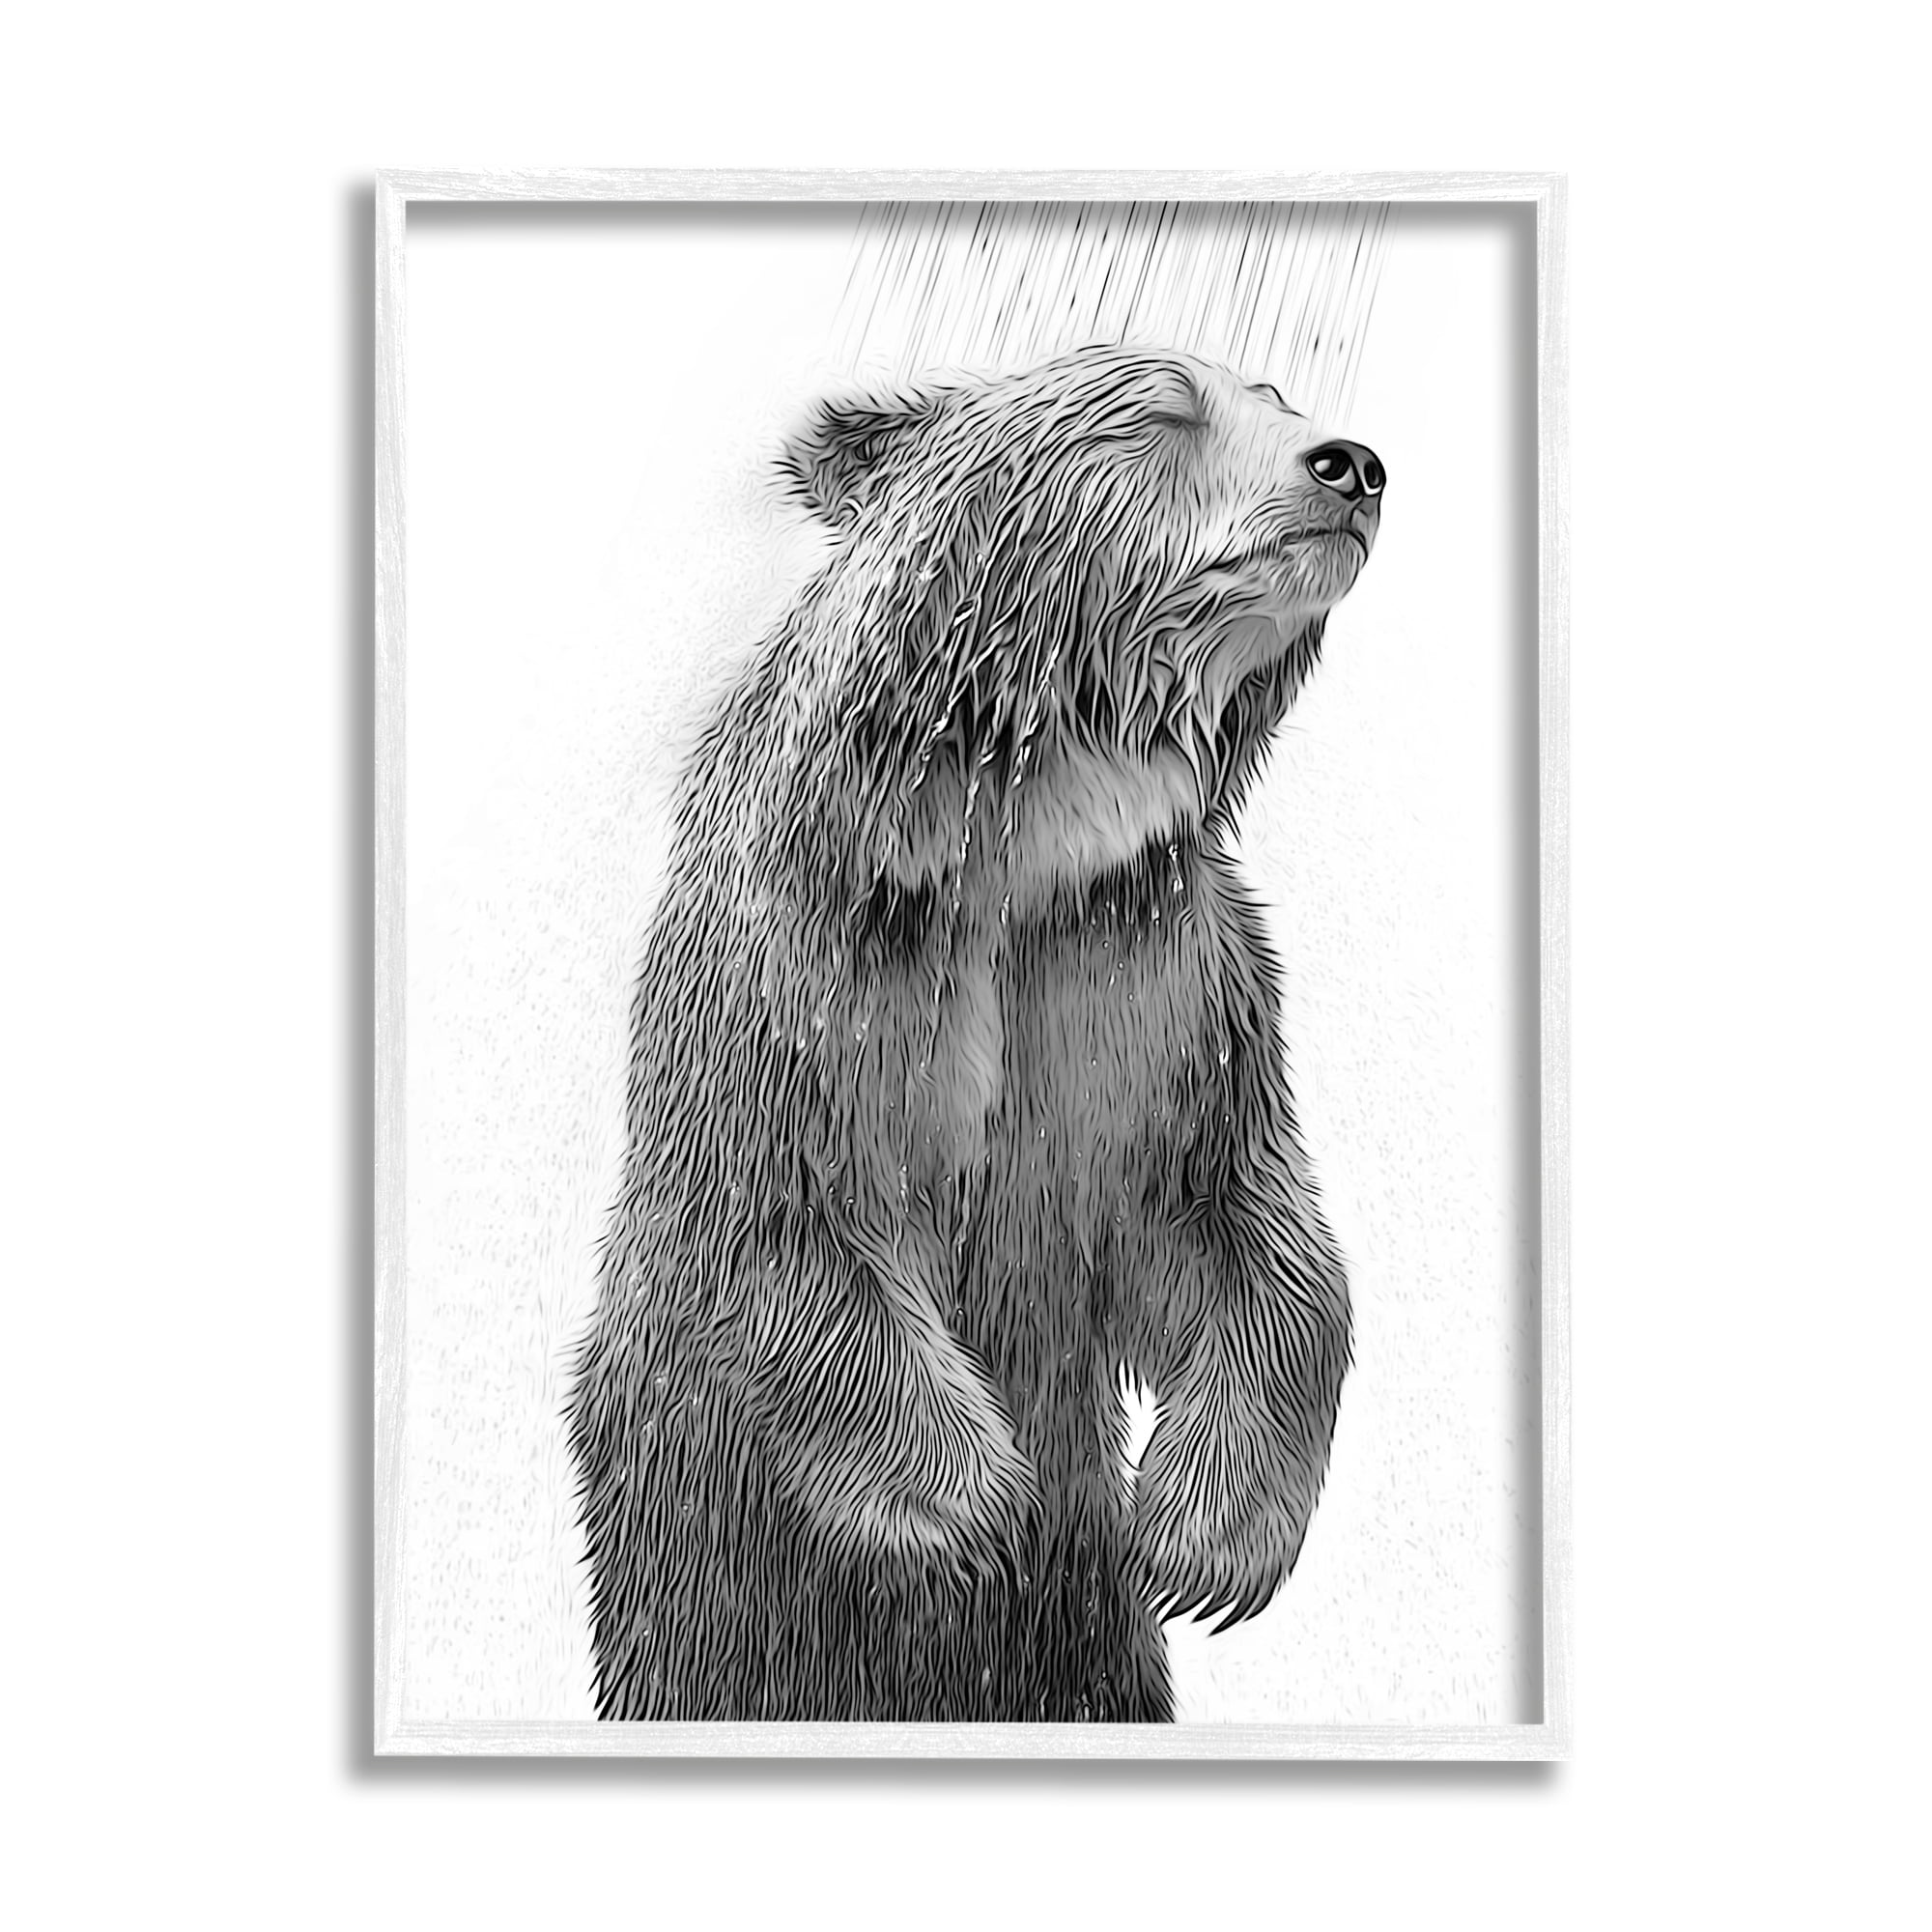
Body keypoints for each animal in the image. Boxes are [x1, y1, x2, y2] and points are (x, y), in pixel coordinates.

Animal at [566, 344, 1383, 1723]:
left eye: (1275, 397)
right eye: (1160, 410)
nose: (1352, 462)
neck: (1027, 837)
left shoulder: (1152, 971)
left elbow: (1236, 1216)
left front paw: (1199, 1541)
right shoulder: (821, 957)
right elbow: (788, 1207)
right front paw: (970, 1509)